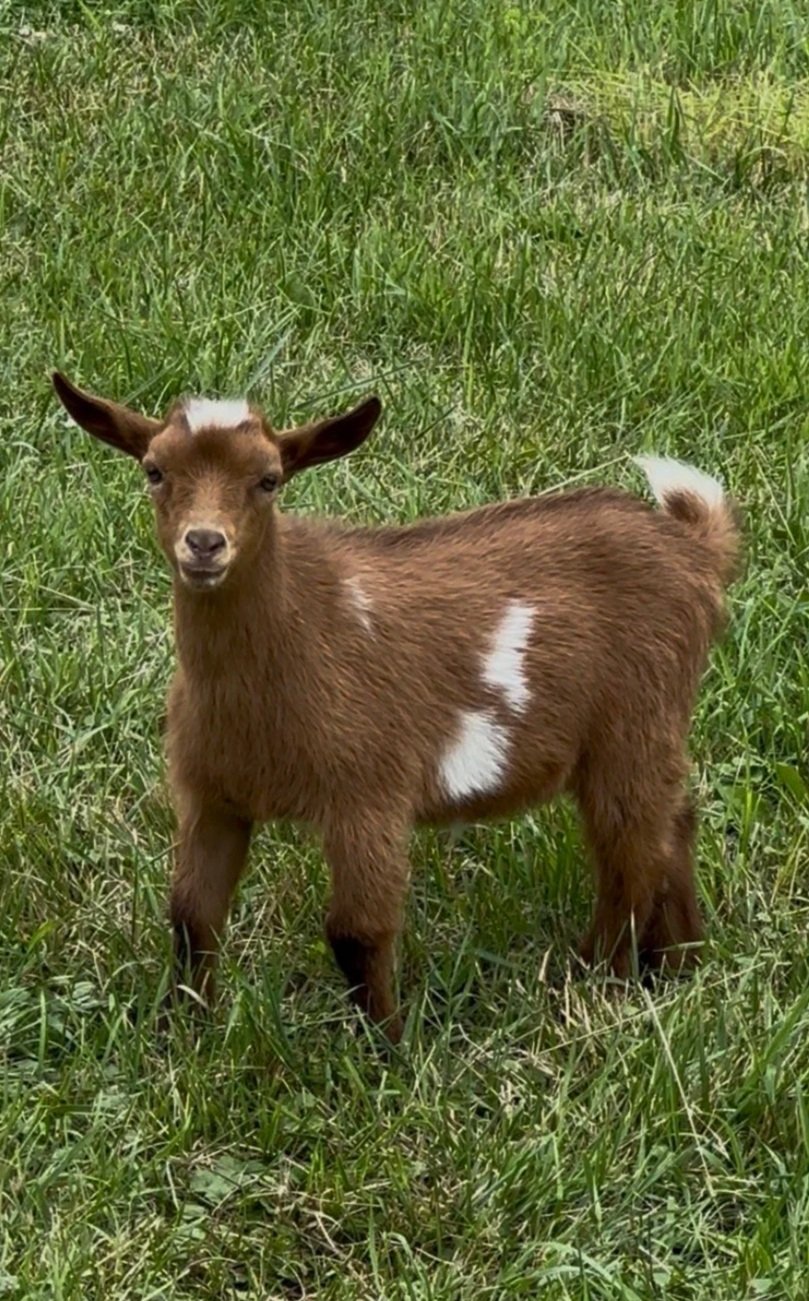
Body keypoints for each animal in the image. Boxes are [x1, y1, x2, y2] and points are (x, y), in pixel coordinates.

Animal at [53, 371, 741, 1042]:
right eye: (154, 470)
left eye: (269, 479)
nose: (203, 543)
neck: (302, 634)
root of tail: (692, 549)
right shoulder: (212, 796)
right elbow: (192, 918)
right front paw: (182, 1034)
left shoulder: (368, 791)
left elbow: (356, 931)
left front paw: (385, 1050)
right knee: (673, 822)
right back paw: (678, 963)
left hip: (636, 718)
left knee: (630, 851)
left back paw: (596, 980)